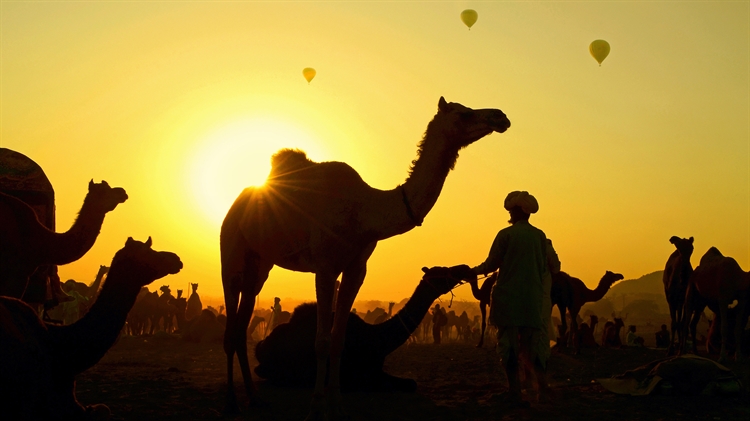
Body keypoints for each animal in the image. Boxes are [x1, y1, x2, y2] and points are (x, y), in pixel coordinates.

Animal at [254, 266, 476, 390]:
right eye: (442, 273)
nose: (464, 269)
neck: (378, 339)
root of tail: (261, 346)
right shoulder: (363, 373)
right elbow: (409, 384)